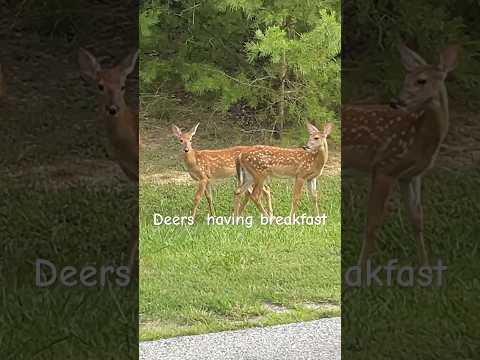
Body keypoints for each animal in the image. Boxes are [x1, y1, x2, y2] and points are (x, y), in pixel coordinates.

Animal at [344, 43, 460, 272]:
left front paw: (426, 268)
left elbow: (417, 219)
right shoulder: (384, 166)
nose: (395, 101)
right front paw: (360, 271)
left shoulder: (410, 175)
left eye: (421, 80)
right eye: (405, 78)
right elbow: (372, 223)